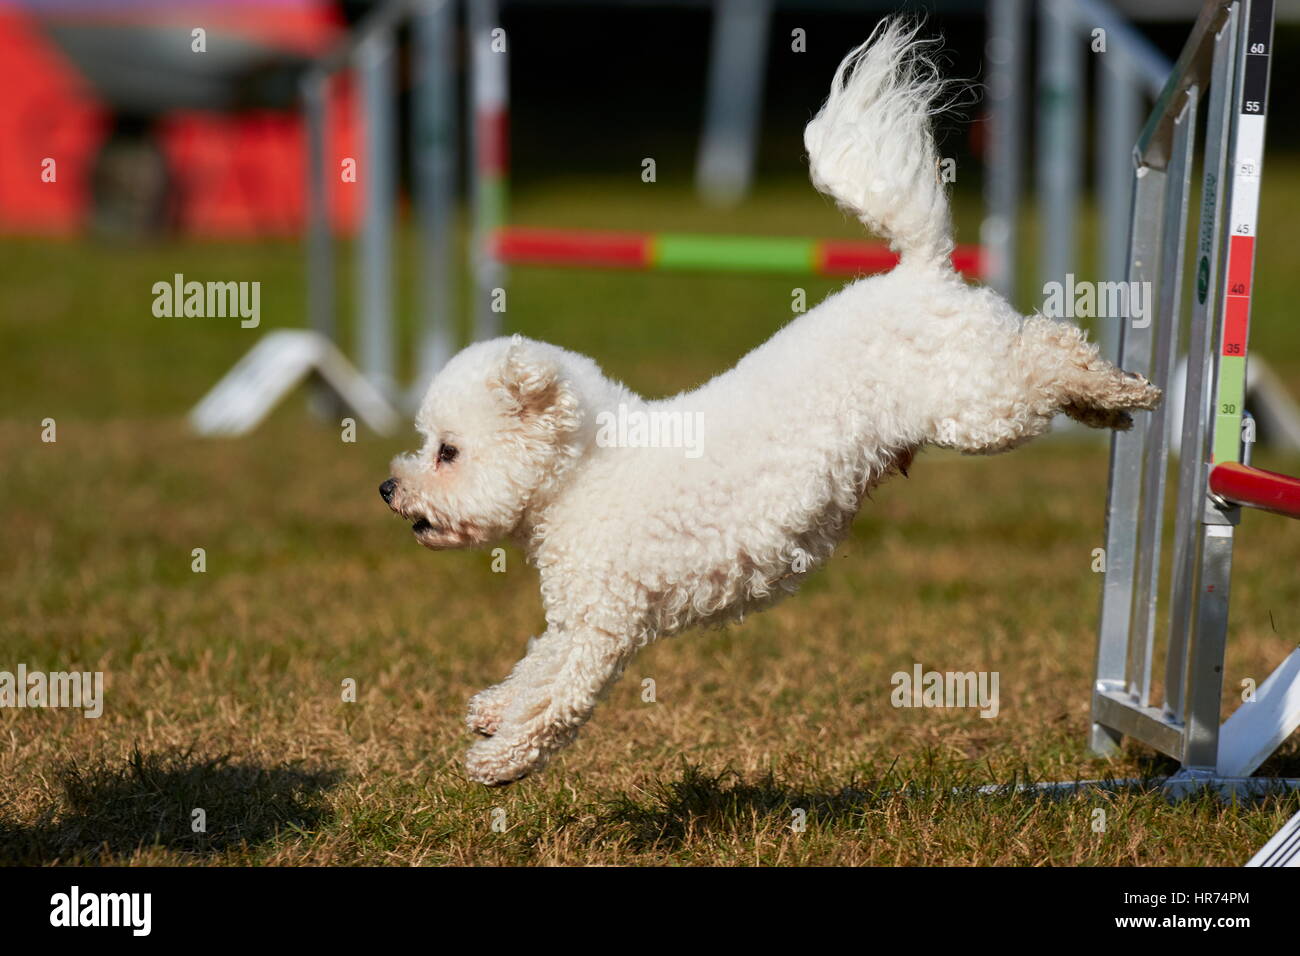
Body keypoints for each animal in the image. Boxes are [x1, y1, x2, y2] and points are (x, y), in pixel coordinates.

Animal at [377, 18, 1159, 790]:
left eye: (447, 452)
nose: (388, 487)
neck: (583, 473)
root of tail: (922, 271)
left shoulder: (604, 626)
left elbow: (556, 702)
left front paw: (498, 758)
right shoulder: (577, 618)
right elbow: (535, 667)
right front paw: (490, 710)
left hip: (978, 406)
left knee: (1050, 349)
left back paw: (1119, 389)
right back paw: (1108, 409)